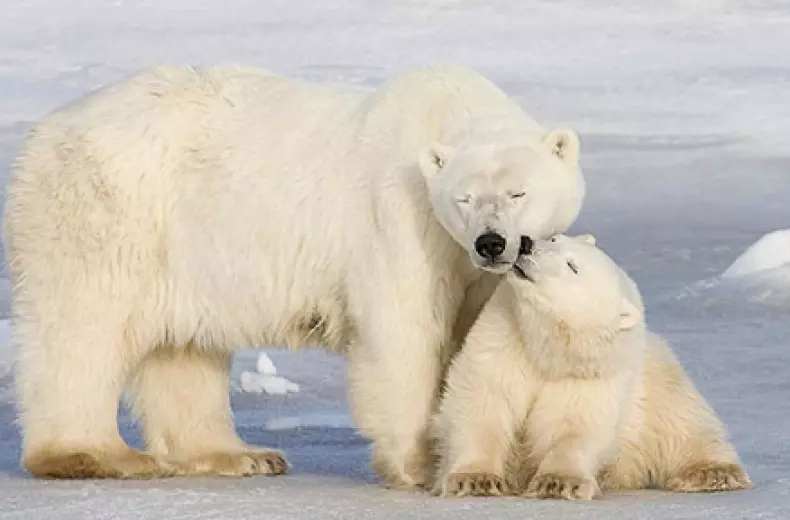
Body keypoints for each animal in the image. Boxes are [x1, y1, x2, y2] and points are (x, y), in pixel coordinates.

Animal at [3, 64, 585, 487]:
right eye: (464, 198)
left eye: (518, 192)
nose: (491, 242)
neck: (444, 115)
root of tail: (45, 130)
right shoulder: (401, 220)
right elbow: (405, 331)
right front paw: (421, 464)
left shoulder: (470, 267)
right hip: (108, 210)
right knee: (83, 329)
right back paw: (95, 454)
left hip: (185, 250)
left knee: (183, 349)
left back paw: (240, 454)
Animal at [433, 234, 752, 499]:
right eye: (553, 238)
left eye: (572, 266)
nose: (526, 243)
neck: (547, 349)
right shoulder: (501, 340)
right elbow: (483, 402)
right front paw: (475, 479)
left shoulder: (592, 373)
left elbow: (577, 423)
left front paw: (558, 483)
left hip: (659, 379)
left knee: (683, 418)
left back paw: (713, 473)